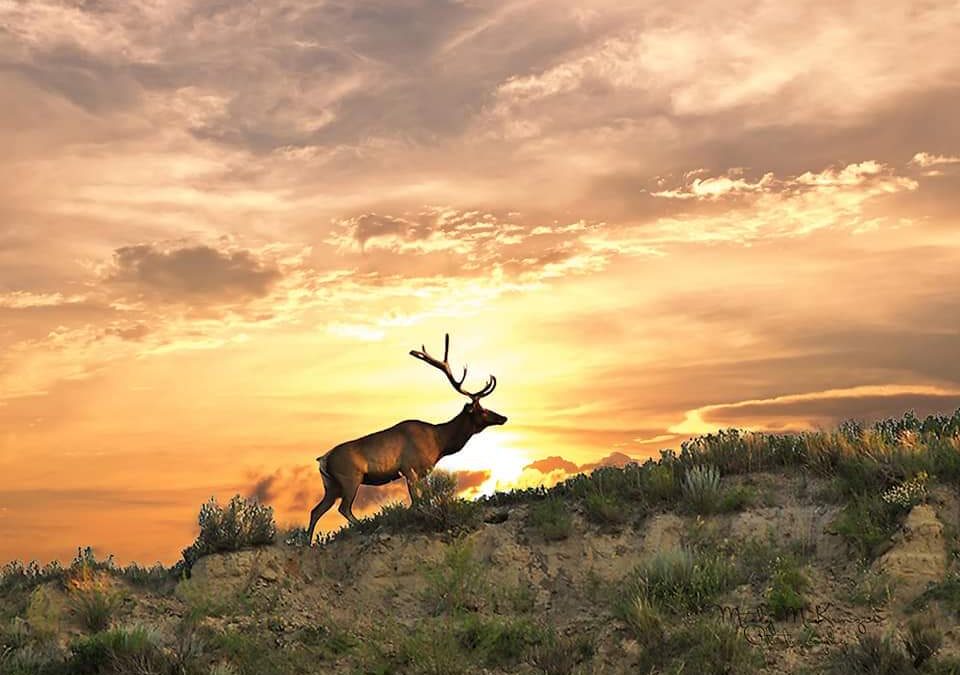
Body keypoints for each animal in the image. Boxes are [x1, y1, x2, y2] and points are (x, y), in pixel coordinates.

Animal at [306, 334, 507, 542]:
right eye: (482, 410)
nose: (503, 417)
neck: (439, 442)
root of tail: (323, 458)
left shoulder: (422, 471)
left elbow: (424, 499)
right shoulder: (409, 467)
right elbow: (417, 501)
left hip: (331, 486)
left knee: (315, 511)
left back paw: (308, 542)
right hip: (350, 478)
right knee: (343, 508)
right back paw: (363, 526)